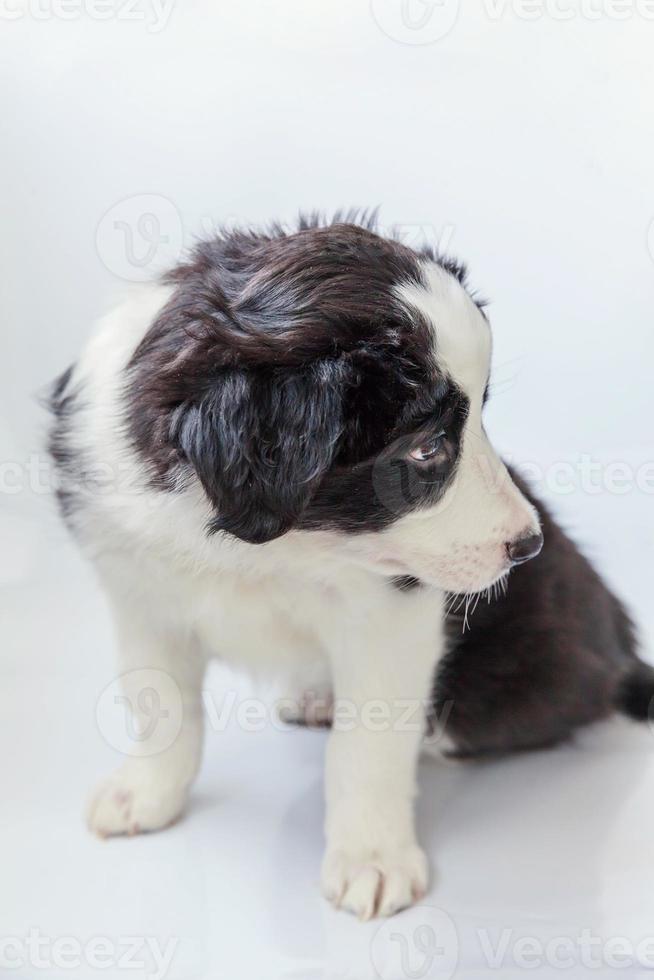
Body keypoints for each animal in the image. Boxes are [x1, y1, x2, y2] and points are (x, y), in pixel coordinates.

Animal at [50, 212, 652, 920]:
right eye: (428, 447)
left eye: (480, 417)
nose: (527, 546)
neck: (272, 544)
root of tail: (621, 651)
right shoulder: (141, 592)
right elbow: (159, 703)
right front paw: (146, 794)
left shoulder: (393, 616)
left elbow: (367, 747)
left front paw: (372, 858)